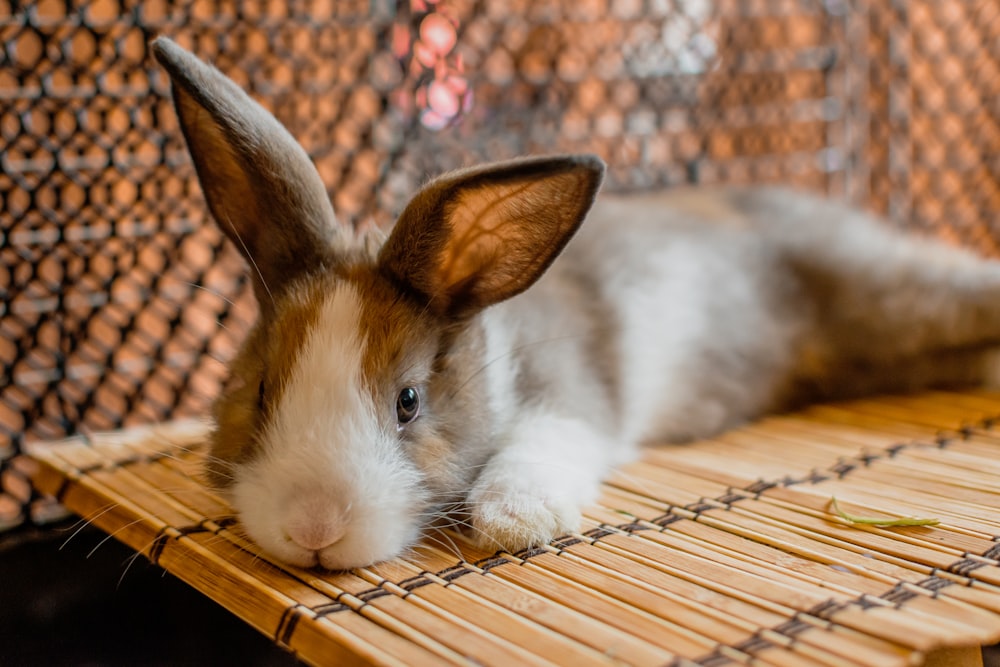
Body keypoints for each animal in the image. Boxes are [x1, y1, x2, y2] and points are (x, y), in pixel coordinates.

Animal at [148, 37, 1000, 568]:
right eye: (260, 391)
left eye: (409, 402)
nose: (314, 529)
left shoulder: (570, 391)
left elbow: (545, 442)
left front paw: (516, 520)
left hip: (894, 290)